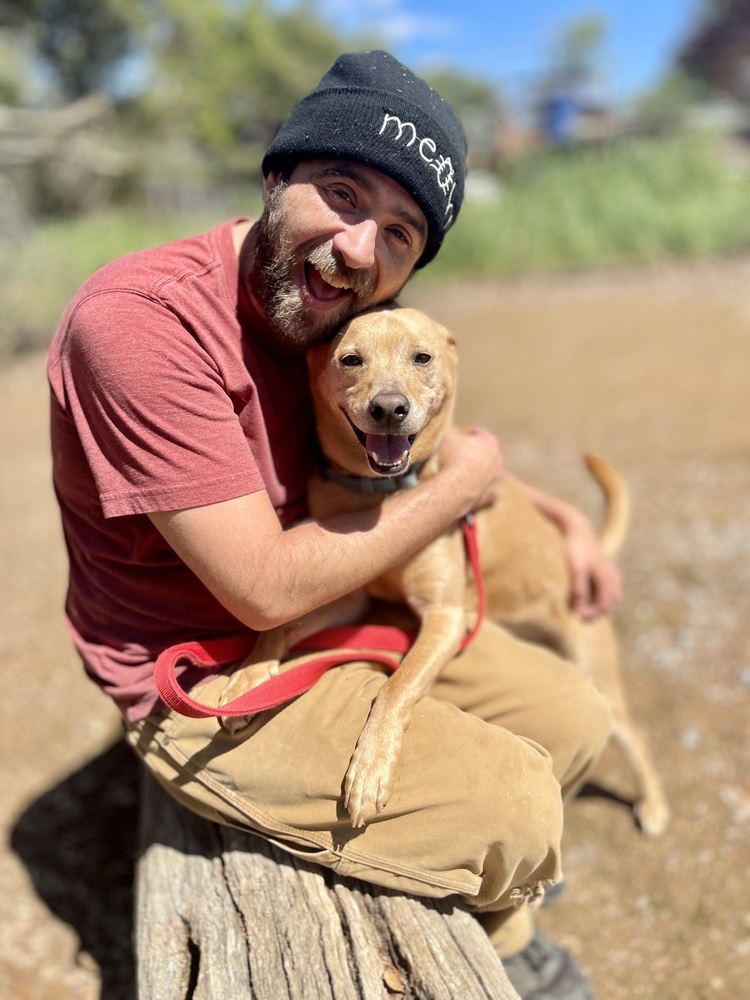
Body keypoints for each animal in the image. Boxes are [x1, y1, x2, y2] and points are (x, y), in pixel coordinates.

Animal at [220, 306, 672, 836]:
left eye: (422, 357)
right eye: (351, 359)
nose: (389, 408)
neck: (382, 495)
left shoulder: (443, 616)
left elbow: (396, 686)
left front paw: (370, 770)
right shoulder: (349, 599)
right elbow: (278, 627)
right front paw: (248, 679)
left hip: (595, 671)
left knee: (635, 739)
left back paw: (654, 807)